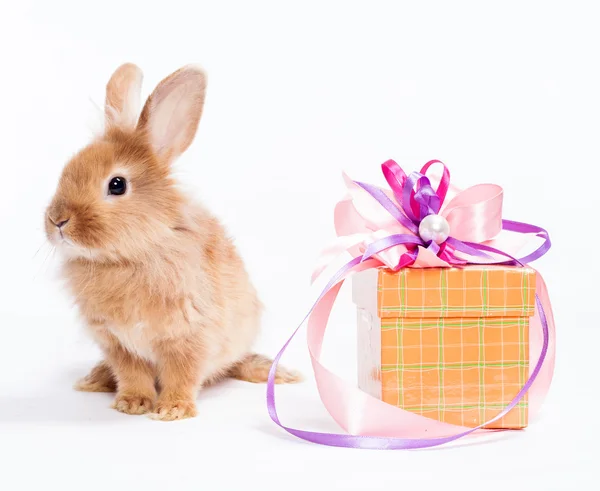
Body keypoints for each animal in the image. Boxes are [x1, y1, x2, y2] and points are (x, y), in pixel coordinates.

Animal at [43, 63, 300, 420]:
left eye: (117, 184)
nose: (57, 221)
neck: (130, 256)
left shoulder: (189, 336)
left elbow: (183, 374)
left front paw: (172, 410)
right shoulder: (117, 344)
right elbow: (132, 375)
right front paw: (131, 404)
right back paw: (95, 379)